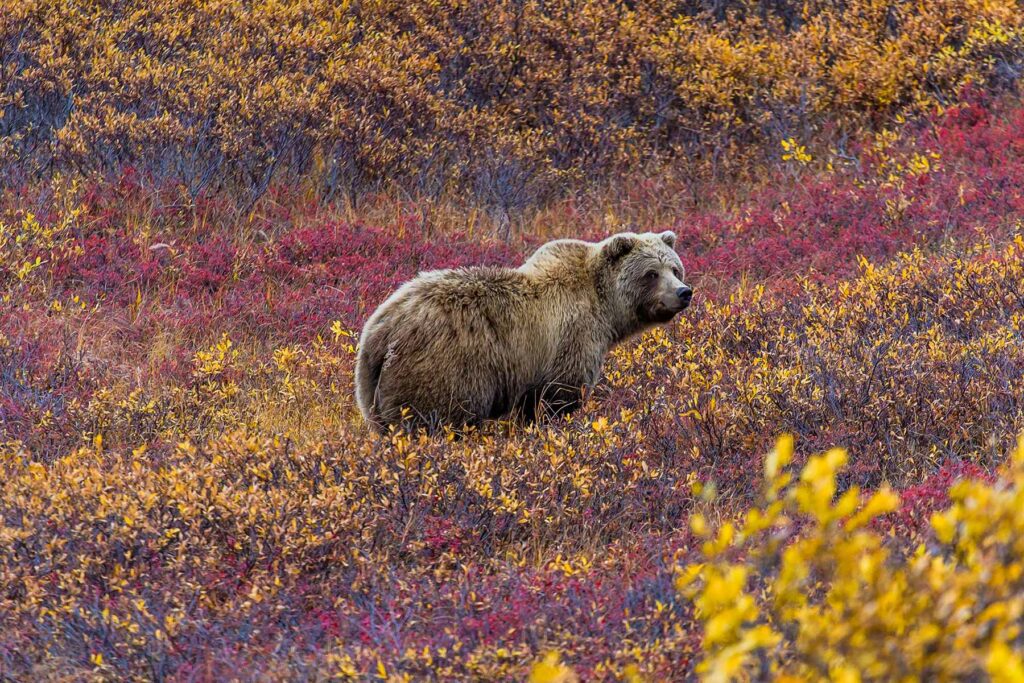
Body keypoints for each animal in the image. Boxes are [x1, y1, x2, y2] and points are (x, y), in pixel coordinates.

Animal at [354, 232, 696, 430]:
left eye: (675, 268)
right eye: (651, 273)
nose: (683, 292)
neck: (605, 307)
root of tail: (380, 330)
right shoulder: (571, 339)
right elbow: (557, 397)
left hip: (371, 389)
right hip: (442, 369)